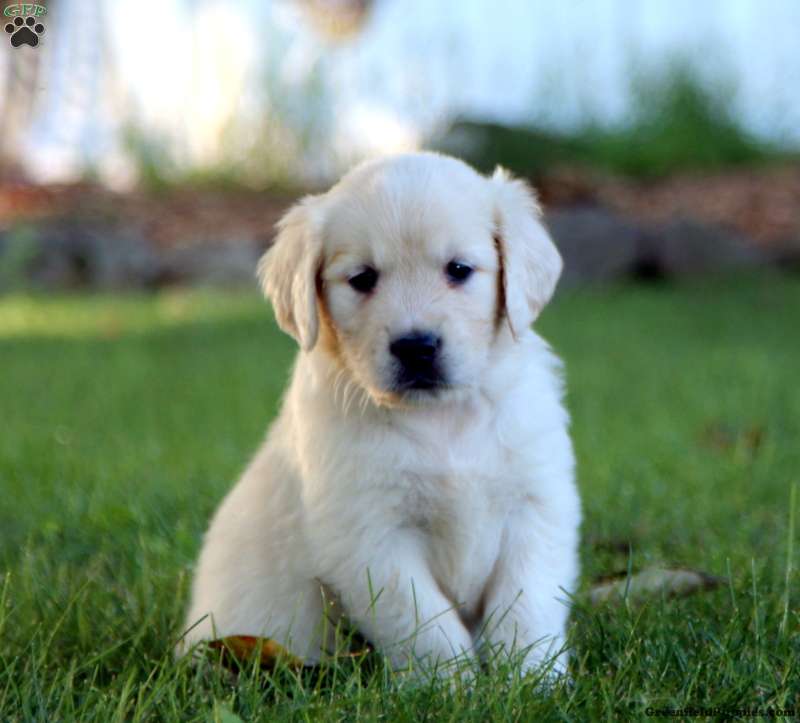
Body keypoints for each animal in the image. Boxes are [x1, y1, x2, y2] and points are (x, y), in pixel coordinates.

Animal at [180, 153, 580, 680]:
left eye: (459, 270)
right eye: (363, 278)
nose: (416, 347)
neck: (441, 420)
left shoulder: (536, 505)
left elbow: (525, 604)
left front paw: (531, 679)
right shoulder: (370, 536)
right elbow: (427, 624)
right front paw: (456, 687)